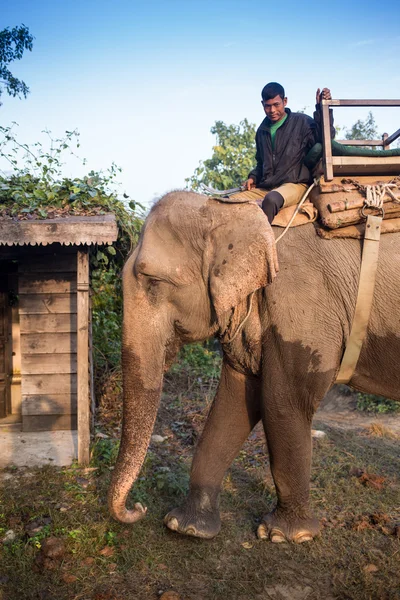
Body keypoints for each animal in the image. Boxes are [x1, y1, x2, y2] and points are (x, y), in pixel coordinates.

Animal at [107, 192, 400, 544]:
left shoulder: (302, 304)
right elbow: (234, 402)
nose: (137, 508)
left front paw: (285, 535)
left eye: (152, 282)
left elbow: (282, 402)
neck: (229, 210)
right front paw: (187, 527)